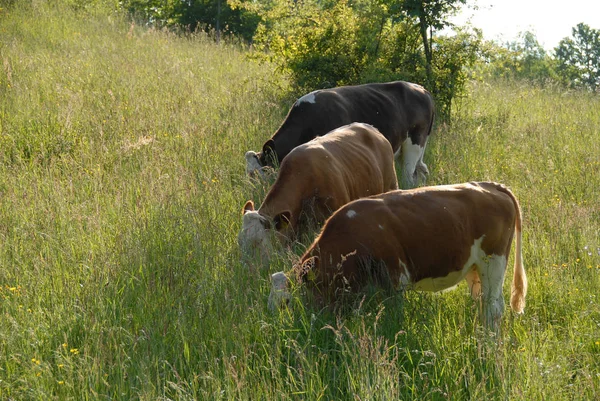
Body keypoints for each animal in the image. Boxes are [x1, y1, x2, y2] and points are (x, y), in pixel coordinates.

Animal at [244, 81, 436, 189]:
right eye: (248, 174)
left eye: (260, 172)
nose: (254, 193)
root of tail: (422, 89)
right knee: (421, 171)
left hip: (414, 142)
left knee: (409, 175)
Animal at [270, 181, 528, 328]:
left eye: (286, 302)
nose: (288, 329)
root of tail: (491, 185)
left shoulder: (395, 281)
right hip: (474, 269)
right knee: (482, 303)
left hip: (493, 263)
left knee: (493, 307)